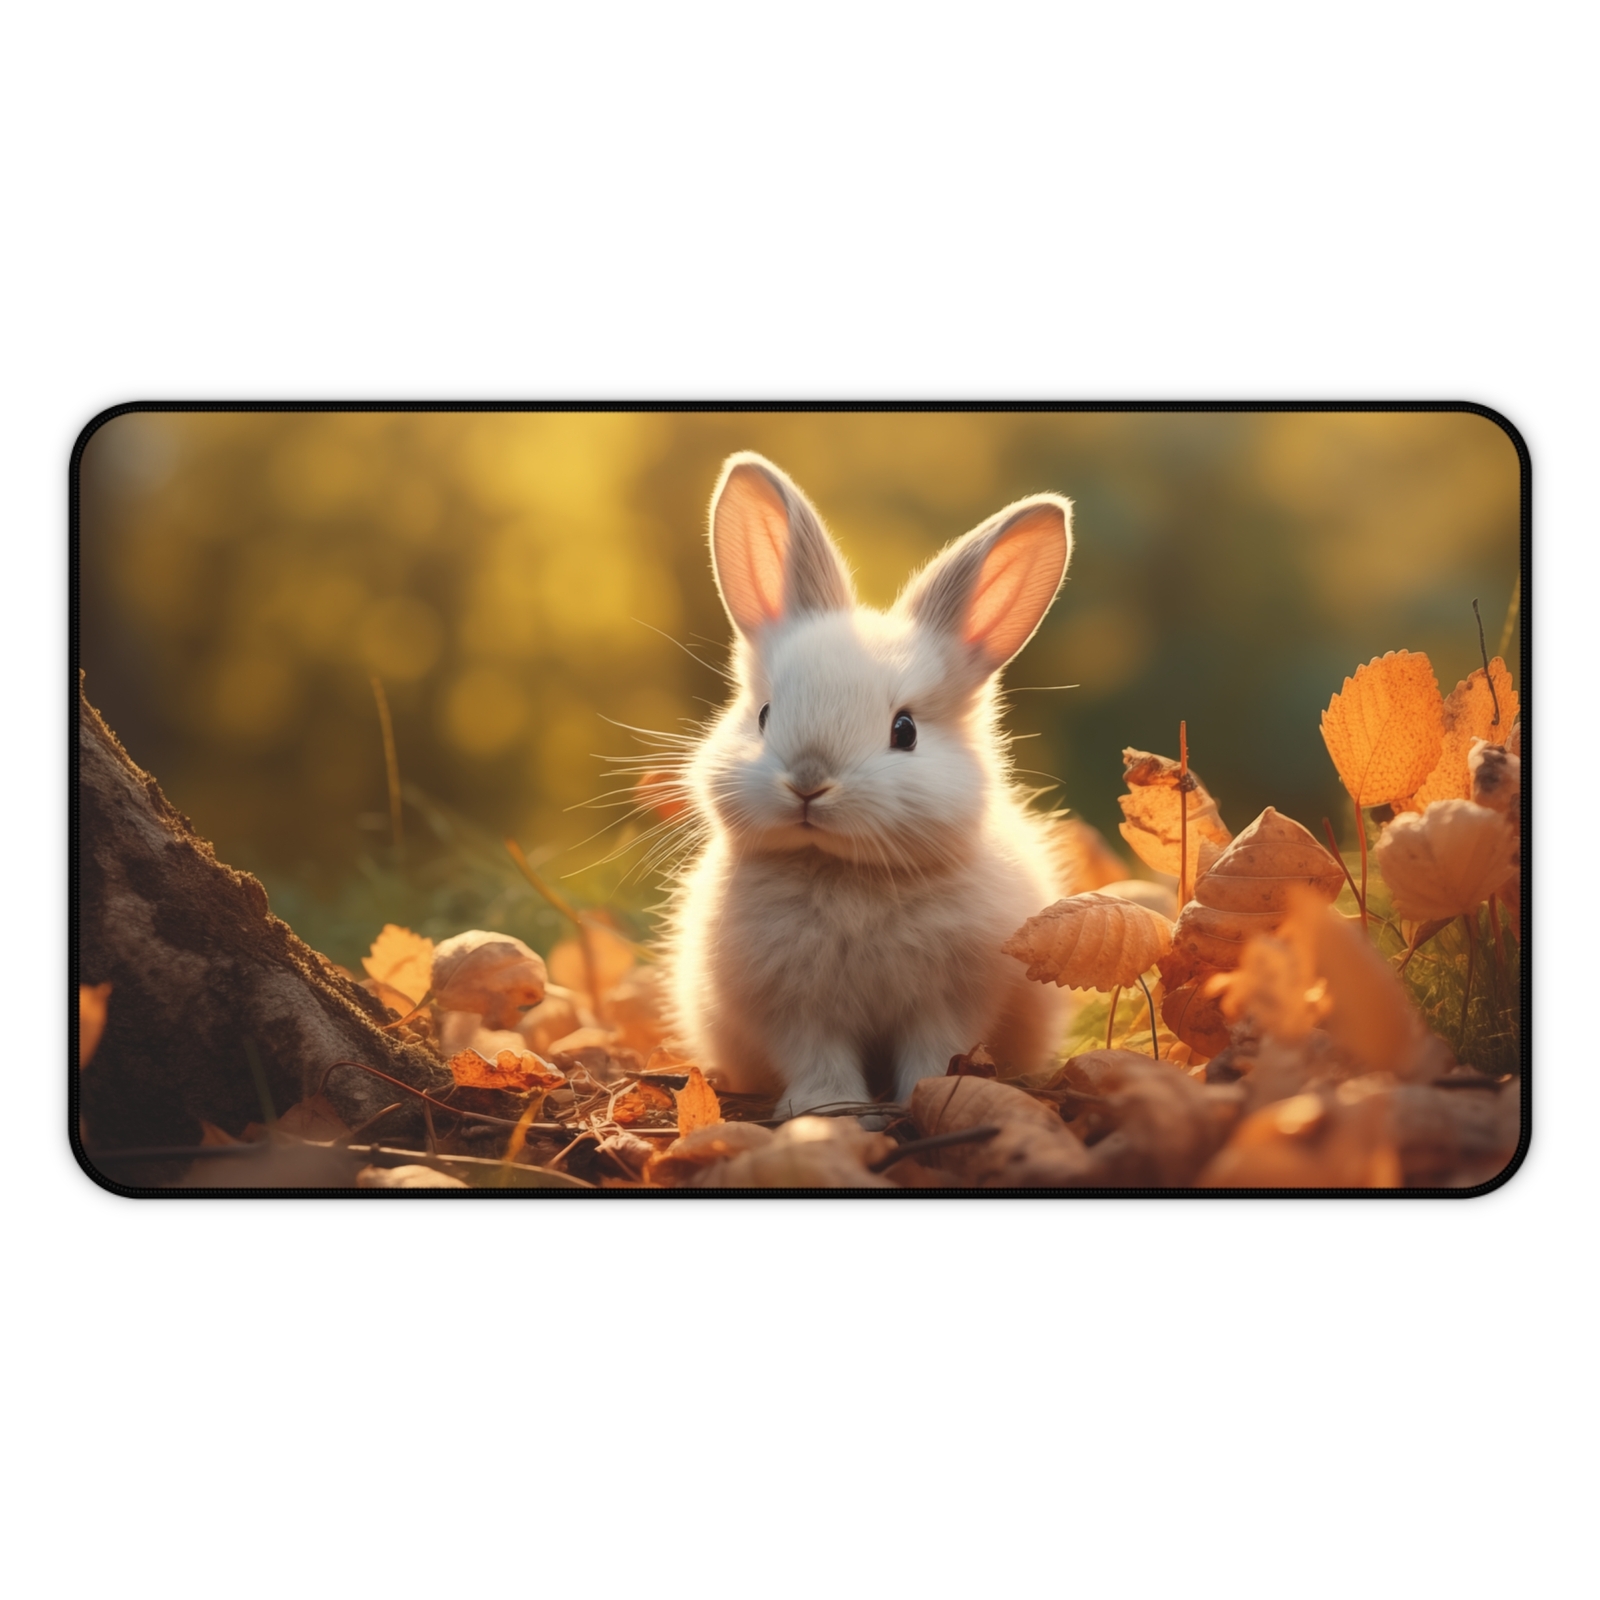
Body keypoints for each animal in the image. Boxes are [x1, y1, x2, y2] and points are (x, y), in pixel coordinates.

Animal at [664, 451, 1073, 1117]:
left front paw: (924, 1096)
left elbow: (933, 1049)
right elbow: (818, 1057)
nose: (809, 781)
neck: (846, 872)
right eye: (764, 714)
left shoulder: (948, 1001)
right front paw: (826, 1109)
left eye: (904, 731)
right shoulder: (796, 1010)